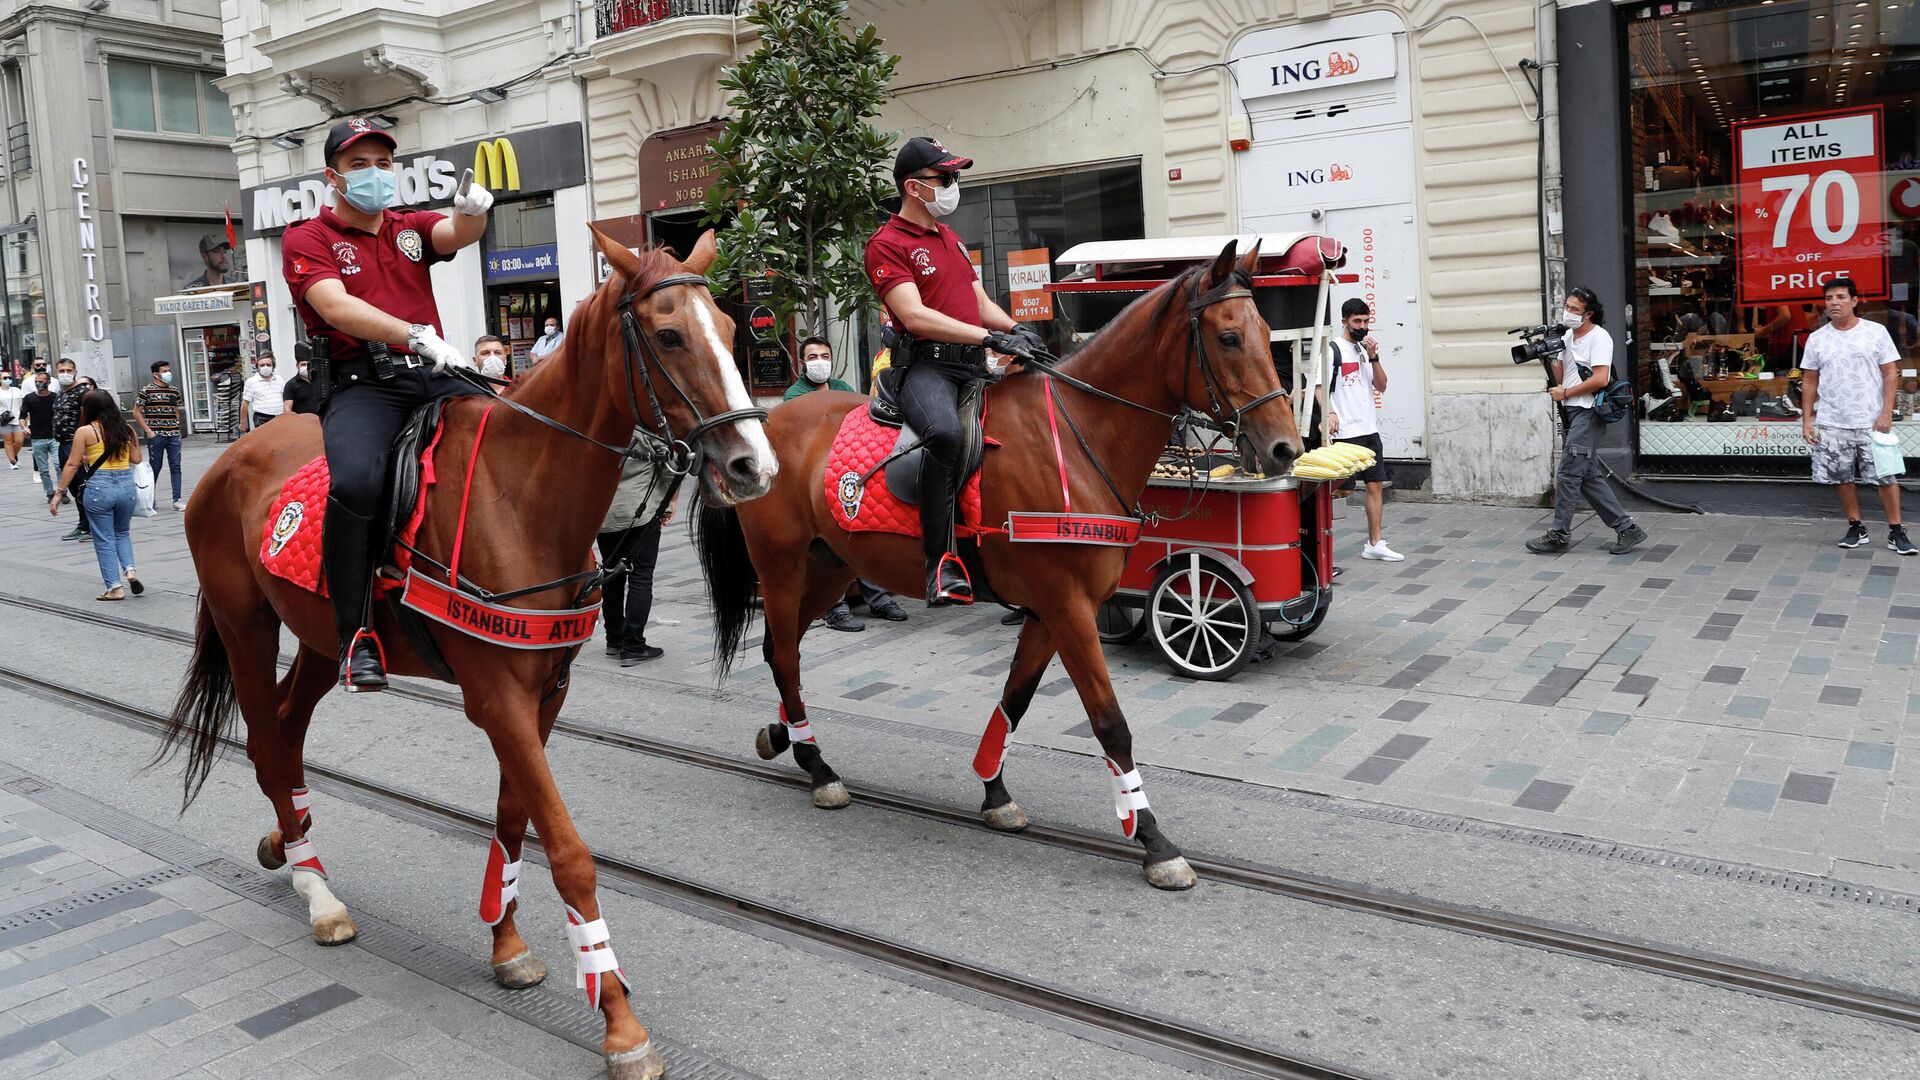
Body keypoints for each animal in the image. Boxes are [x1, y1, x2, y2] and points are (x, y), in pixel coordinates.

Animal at [155, 231, 771, 1068]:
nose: (753, 465)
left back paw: (288, 845)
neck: (520, 497)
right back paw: (320, 895)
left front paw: (507, 944)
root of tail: (229, 454)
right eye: (670, 335)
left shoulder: (545, 693)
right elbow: (568, 851)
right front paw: (618, 1020)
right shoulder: (498, 697)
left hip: (322, 640)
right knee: (267, 747)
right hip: (245, 625)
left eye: (734, 331)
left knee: (281, 734)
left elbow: (515, 822)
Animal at [698, 239, 1297, 887]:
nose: (1285, 448)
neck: (1079, 436)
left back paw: (789, 739)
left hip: (832, 566)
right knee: (783, 652)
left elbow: (1015, 699)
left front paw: (994, 792)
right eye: (1229, 337)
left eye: (1269, 332)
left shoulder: (1049, 612)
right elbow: (1110, 723)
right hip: (781, 566)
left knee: (781, 649)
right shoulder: (1068, 608)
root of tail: (760, 429)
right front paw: (1154, 840)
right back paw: (819, 768)